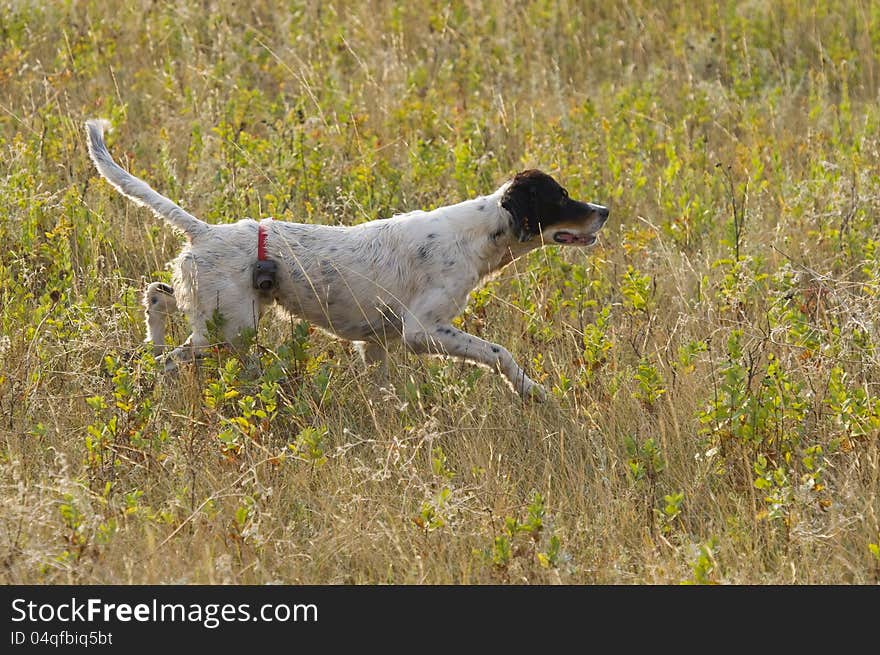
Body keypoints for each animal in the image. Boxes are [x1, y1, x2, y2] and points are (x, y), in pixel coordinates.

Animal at [86, 118, 608, 400]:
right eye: (562, 198)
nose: (604, 211)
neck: (477, 233)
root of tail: (205, 230)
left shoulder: (376, 343)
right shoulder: (423, 330)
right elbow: (500, 353)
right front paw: (532, 391)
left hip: (214, 312)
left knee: (156, 296)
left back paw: (151, 343)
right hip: (228, 330)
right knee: (170, 356)